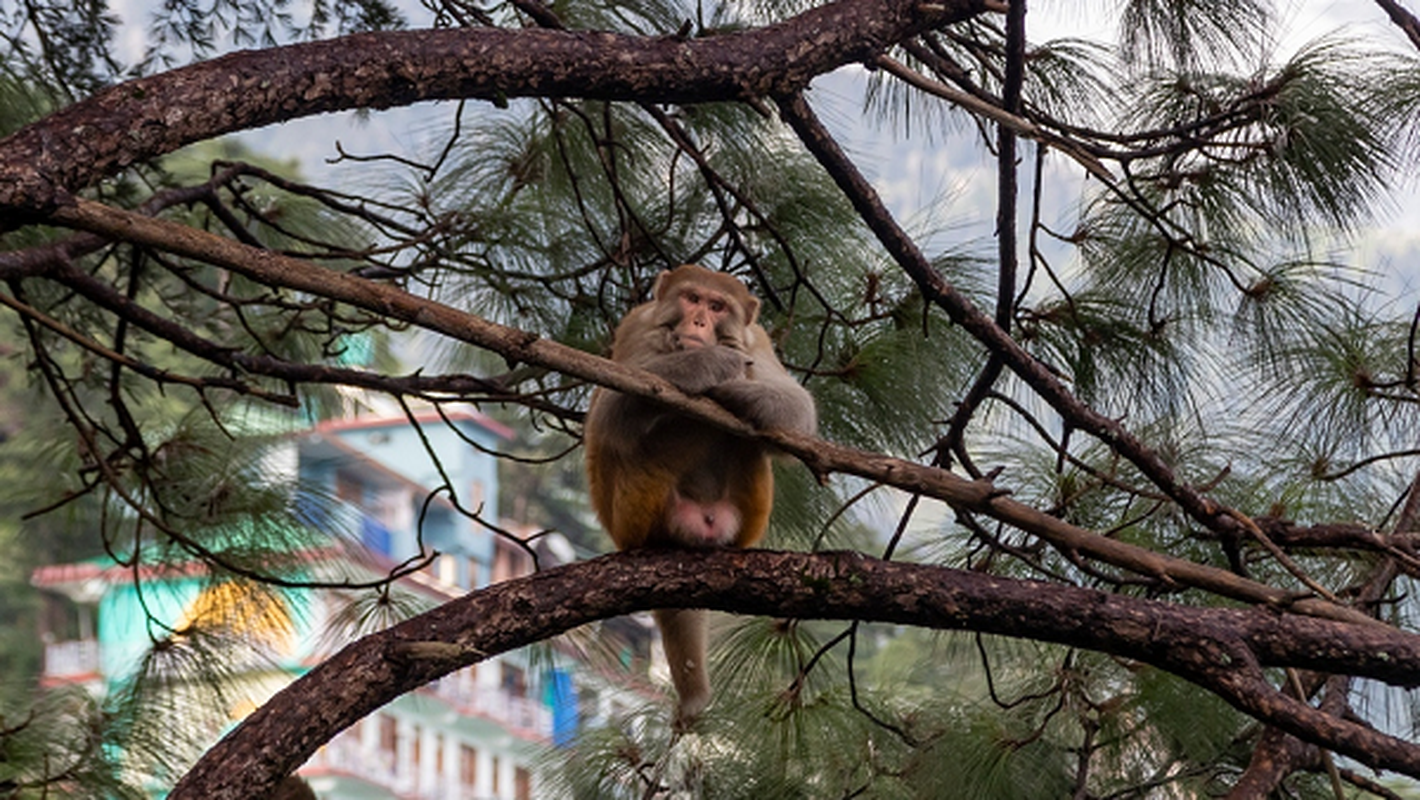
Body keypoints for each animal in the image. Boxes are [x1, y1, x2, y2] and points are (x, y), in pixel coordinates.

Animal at [582, 265, 817, 727]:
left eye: (717, 305)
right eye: (692, 298)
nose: (699, 322)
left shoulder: (757, 340)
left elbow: (797, 413)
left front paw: (738, 388)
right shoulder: (637, 326)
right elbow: (610, 411)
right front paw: (708, 364)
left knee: (751, 444)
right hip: (636, 510)